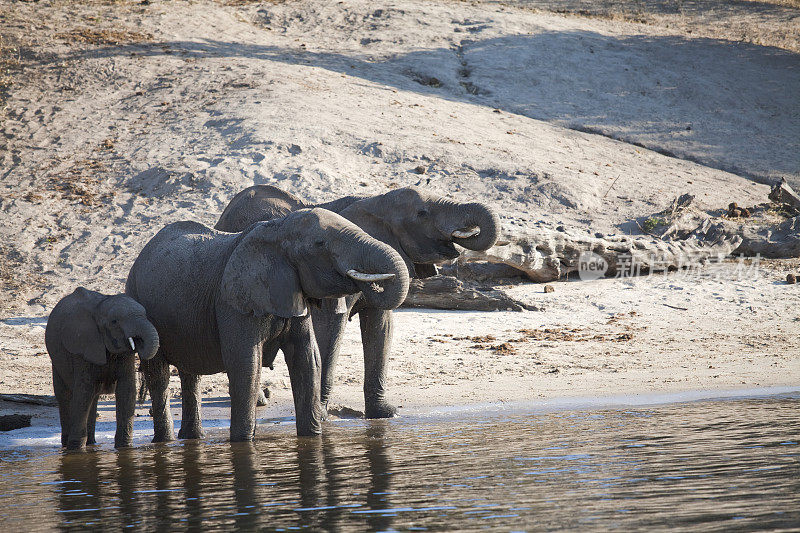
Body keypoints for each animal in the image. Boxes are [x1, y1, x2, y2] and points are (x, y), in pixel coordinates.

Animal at [46, 286, 162, 448]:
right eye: (114, 322)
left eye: (145, 315)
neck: (100, 307)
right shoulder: (82, 347)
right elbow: (83, 391)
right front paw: (75, 448)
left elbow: (126, 390)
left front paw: (125, 447)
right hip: (56, 360)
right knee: (65, 395)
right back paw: (67, 444)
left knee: (93, 397)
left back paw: (91, 443)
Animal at [129, 206, 412, 438]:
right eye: (319, 244)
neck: (277, 229)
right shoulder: (234, 303)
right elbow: (246, 363)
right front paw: (243, 443)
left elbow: (307, 358)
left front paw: (312, 437)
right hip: (140, 303)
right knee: (159, 375)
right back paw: (165, 441)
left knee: (191, 374)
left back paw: (192, 438)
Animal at [212, 185, 500, 418]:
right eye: (422, 214)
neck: (374, 200)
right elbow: (331, 327)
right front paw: (323, 414)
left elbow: (381, 327)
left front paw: (385, 414)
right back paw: (260, 399)